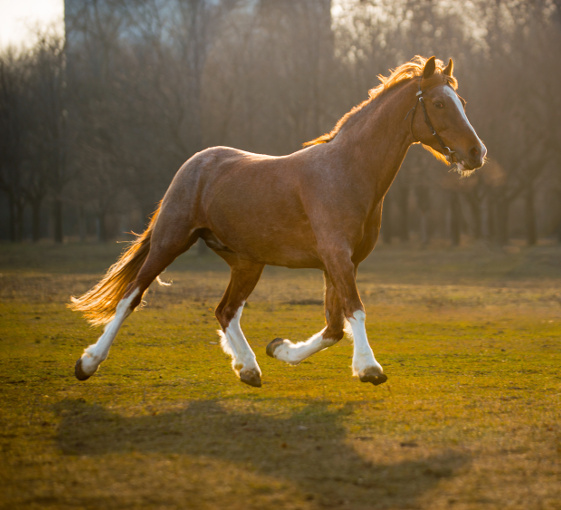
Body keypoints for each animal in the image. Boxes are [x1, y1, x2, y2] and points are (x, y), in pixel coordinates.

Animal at [70, 55, 486, 388]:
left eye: (463, 103)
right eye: (438, 103)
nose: (476, 153)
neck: (347, 173)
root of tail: (195, 163)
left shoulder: (339, 263)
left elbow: (334, 327)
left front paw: (281, 349)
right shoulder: (337, 257)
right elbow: (355, 310)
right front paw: (369, 368)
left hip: (246, 262)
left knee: (225, 311)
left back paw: (248, 368)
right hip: (170, 242)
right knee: (131, 296)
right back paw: (88, 363)